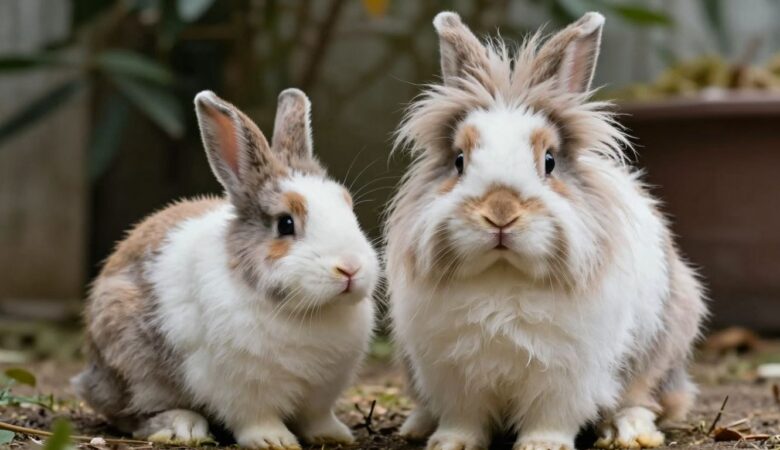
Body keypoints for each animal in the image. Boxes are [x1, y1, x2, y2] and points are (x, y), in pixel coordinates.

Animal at [72, 88, 379, 449]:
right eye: (285, 224)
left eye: (348, 206)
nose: (350, 268)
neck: (309, 311)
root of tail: (89, 378)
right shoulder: (241, 387)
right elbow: (255, 417)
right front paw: (274, 440)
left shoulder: (321, 391)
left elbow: (316, 417)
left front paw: (334, 434)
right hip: (130, 361)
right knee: (133, 413)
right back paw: (182, 427)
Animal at [385, 11, 706, 450]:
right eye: (458, 161)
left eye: (550, 161)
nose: (500, 212)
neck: (503, 277)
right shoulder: (451, 372)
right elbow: (463, 416)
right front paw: (450, 443)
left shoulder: (566, 374)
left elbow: (551, 414)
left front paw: (542, 444)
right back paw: (416, 425)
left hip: (663, 343)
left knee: (643, 397)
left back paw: (632, 432)